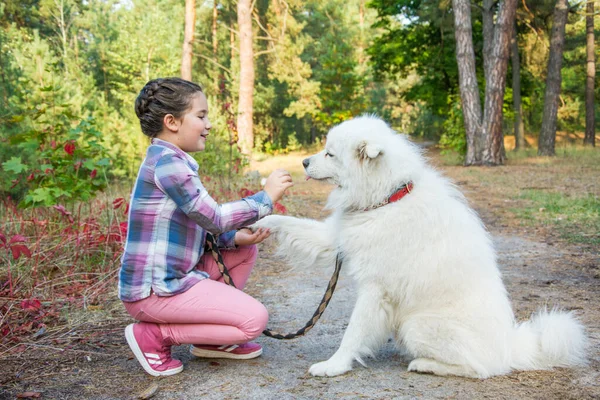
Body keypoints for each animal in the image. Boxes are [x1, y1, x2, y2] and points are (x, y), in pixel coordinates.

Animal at [253, 115, 584, 378]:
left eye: (330, 153)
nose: (303, 162)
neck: (387, 199)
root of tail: (511, 346)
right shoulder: (333, 238)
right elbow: (290, 222)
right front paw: (258, 222)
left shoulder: (375, 288)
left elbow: (354, 331)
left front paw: (334, 366)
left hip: (417, 325)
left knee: (481, 368)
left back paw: (425, 364)